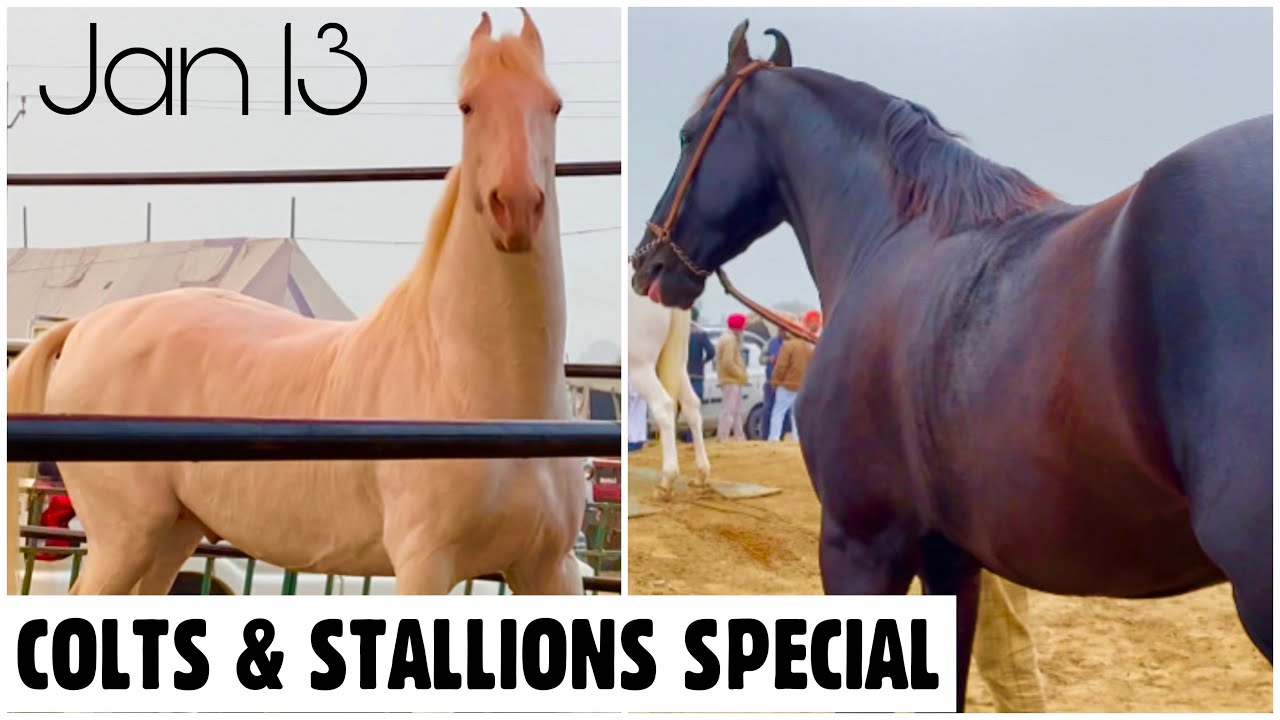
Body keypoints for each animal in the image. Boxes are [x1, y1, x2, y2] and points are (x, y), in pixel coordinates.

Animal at [7, 9, 588, 596]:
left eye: (554, 105)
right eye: (467, 105)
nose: (516, 206)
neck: (479, 389)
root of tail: (86, 327)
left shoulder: (549, 567)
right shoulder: (425, 565)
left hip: (172, 533)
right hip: (125, 538)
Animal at [627, 290, 711, 500]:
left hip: (640, 364)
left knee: (663, 405)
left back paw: (666, 481)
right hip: (680, 362)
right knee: (692, 405)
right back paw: (701, 476)